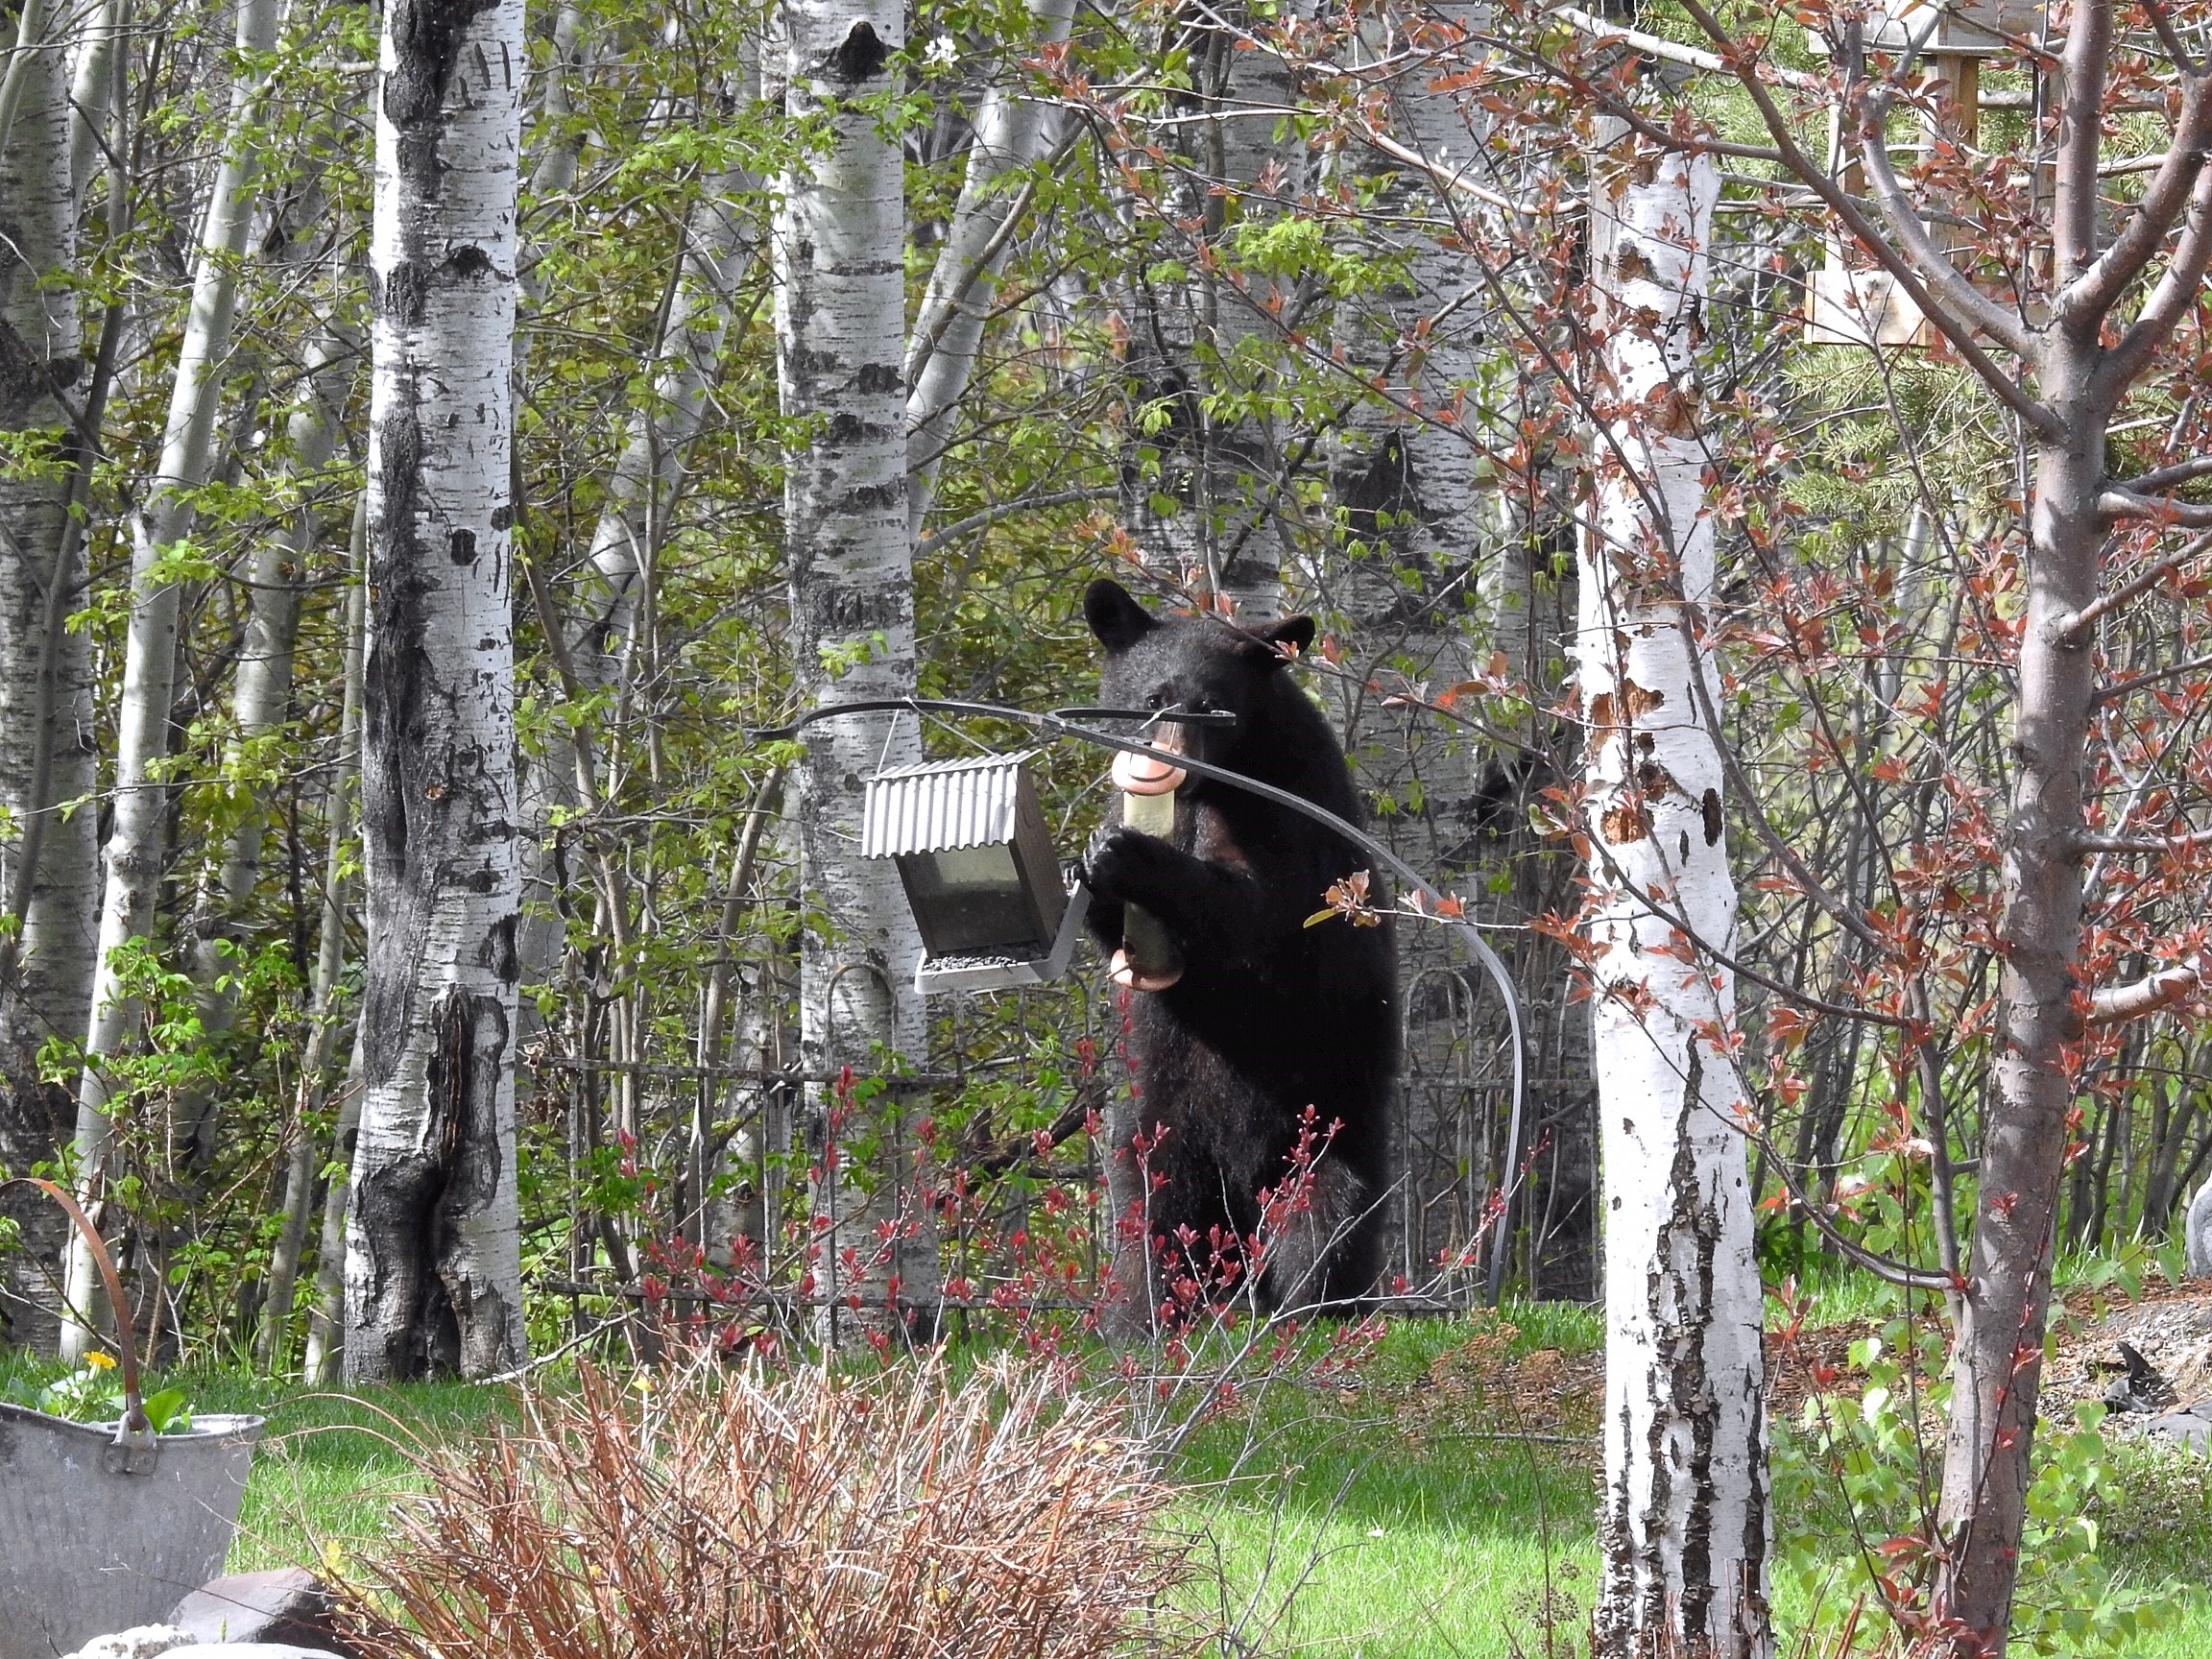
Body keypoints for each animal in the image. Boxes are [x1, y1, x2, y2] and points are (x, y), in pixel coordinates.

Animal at [1078, 578, 1398, 1331]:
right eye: (1150, 697)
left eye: (1214, 707)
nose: (1170, 763)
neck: (1212, 789)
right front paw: (1095, 860)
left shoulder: (1288, 807)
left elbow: (1255, 909)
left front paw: (1134, 856)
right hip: (1161, 1120)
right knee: (1152, 1213)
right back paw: (1143, 1318)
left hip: (1329, 1115)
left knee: (1327, 1216)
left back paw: (1311, 1310)